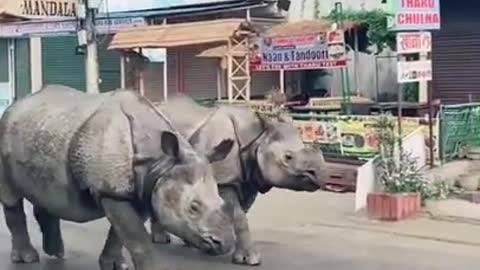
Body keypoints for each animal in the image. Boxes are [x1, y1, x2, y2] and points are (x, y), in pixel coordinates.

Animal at [0, 85, 236, 270]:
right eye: (193, 207)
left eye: (222, 201)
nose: (224, 244)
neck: (160, 163)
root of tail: (16, 104)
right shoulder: (111, 192)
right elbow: (136, 237)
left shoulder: (142, 189)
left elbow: (121, 234)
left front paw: (115, 265)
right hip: (5, 131)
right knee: (11, 197)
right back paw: (28, 258)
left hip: (44, 128)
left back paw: (55, 252)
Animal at [150, 95, 328, 266]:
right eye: (288, 157)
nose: (320, 176)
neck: (257, 137)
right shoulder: (224, 180)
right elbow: (238, 216)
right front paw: (249, 259)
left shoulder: (249, 180)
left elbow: (238, 214)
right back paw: (161, 240)